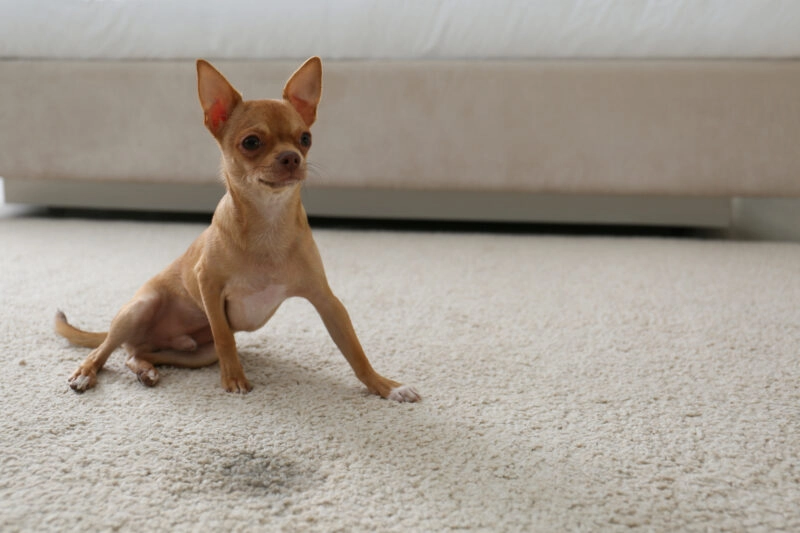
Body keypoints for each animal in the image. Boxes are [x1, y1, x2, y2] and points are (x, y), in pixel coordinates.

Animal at [55, 56, 418, 402]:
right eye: (251, 142)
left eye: (305, 139)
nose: (292, 157)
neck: (269, 223)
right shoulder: (209, 286)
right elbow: (225, 337)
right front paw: (234, 380)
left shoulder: (327, 301)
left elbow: (356, 352)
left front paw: (385, 386)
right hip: (139, 310)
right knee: (105, 350)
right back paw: (86, 373)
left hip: (197, 353)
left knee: (136, 354)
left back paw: (145, 370)